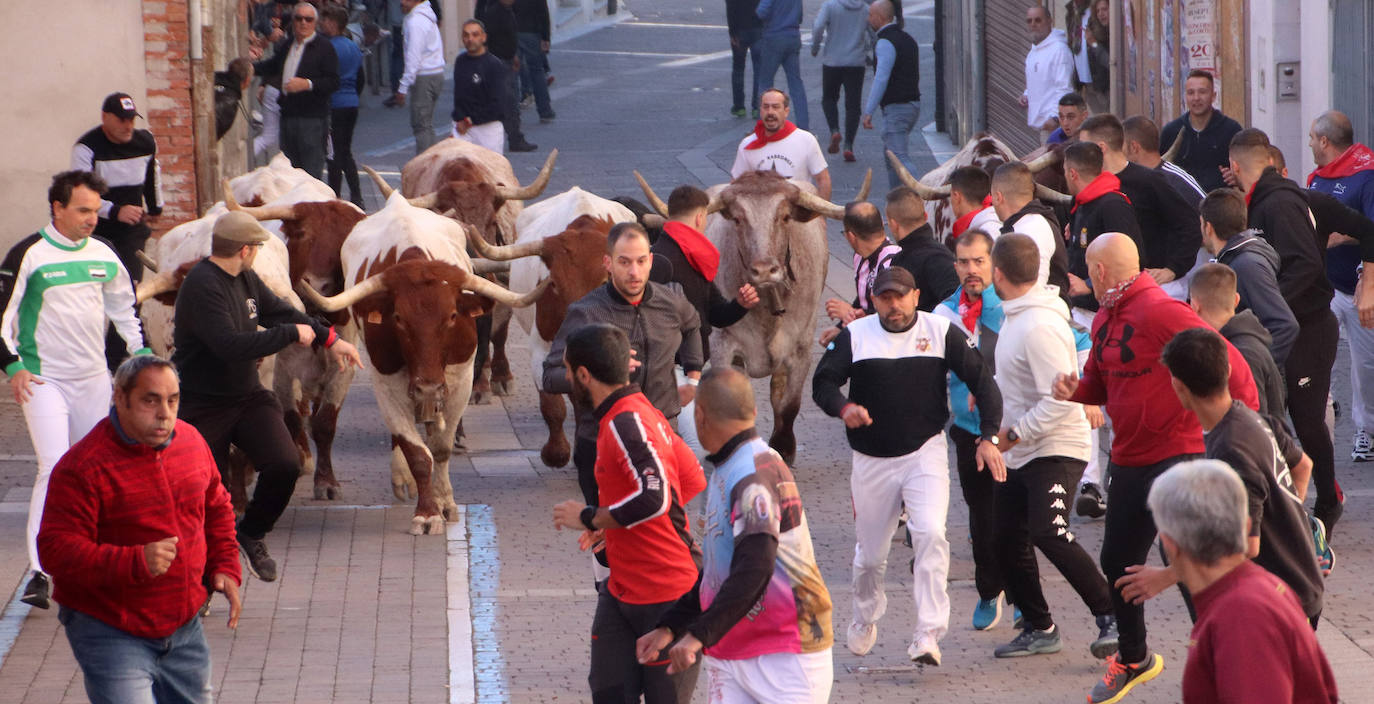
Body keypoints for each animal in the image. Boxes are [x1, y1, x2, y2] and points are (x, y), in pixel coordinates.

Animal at [299, 192, 546, 533]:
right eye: (398, 319)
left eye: (452, 316)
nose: (428, 387)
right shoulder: (387, 382)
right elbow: (417, 452)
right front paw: (427, 512)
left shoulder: (460, 379)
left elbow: (440, 447)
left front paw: (445, 503)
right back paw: (402, 477)